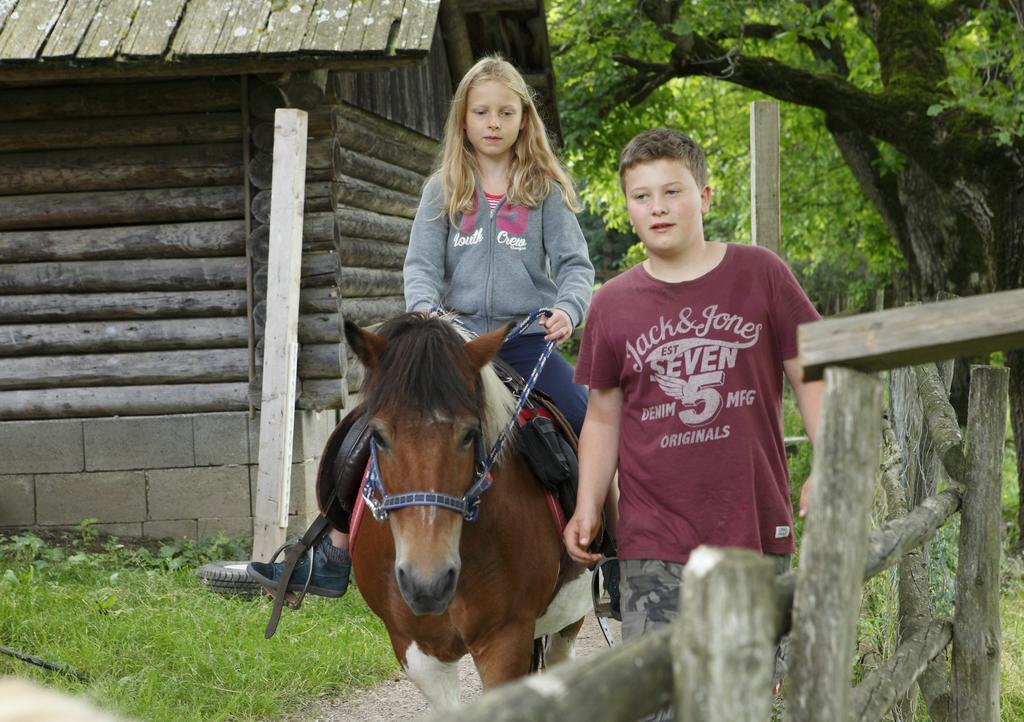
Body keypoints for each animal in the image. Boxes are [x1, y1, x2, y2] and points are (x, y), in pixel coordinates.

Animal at [346, 313, 593, 708]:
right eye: (378, 435)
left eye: (468, 434)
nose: (427, 584)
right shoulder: (416, 650)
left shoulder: (505, 639)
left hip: (569, 617)